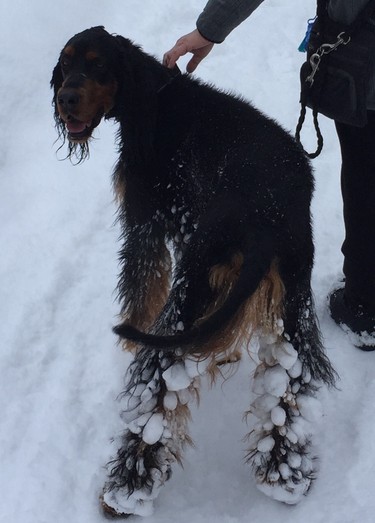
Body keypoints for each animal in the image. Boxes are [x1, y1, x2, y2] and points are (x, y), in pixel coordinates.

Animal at [51, 26, 336, 516]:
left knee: (156, 395)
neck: (151, 94)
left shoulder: (144, 221)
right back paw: (284, 476)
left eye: (98, 64)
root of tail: (266, 218)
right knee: (288, 387)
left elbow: (142, 289)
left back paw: (124, 491)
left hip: (193, 287)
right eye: (66, 63)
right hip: (292, 303)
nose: (65, 98)